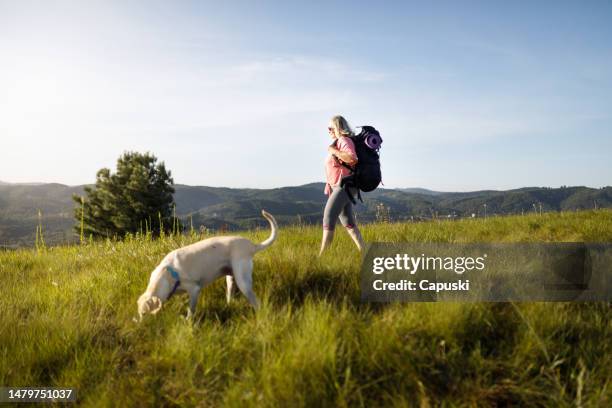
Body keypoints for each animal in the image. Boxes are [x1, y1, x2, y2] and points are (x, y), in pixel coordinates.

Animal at [137, 210, 278, 322]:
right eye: (140, 313)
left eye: (144, 313)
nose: (139, 325)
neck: (167, 272)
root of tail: (251, 245)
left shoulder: (194, 290)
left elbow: (191, 310)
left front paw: (188, 322)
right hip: (230, 279)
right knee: (230, 296)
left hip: (243, 281)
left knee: (256, 302)